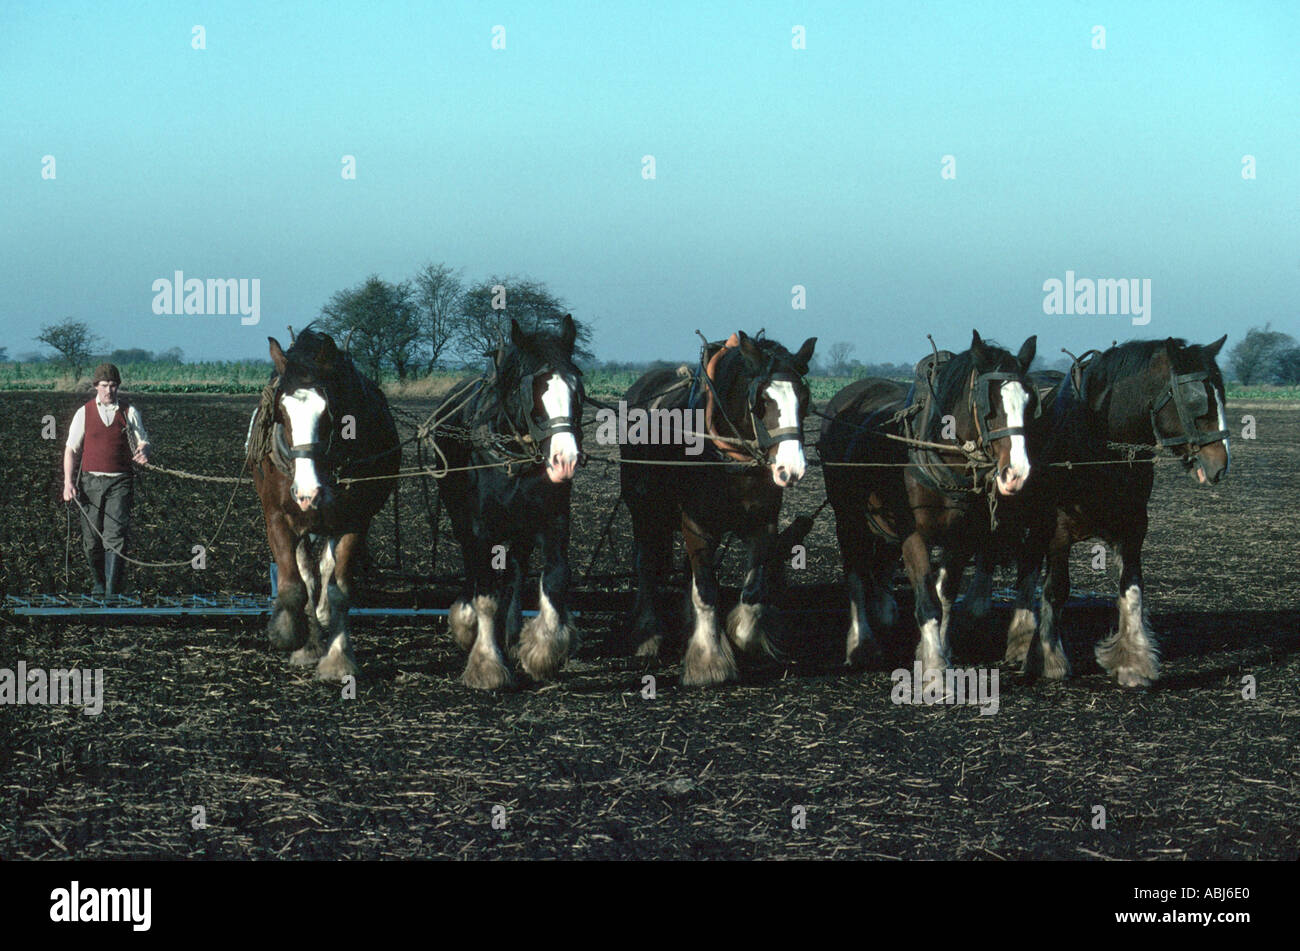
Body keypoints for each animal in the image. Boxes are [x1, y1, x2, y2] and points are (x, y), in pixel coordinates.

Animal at [246, 329, 397, 680]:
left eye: (329, 413)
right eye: (282, 412)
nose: (307, 493)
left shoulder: (355, 520)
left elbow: (338, 589)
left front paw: (338, 659)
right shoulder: (277, 517)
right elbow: (294, 585)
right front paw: (291, 635)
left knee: (325, 572)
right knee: (308, 575)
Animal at [616, 329, 811, 685]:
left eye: (804, 399)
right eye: (762, 401)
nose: (791, 468)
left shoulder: (763, 524)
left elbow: (751, 590)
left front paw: (741, 635)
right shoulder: (696, 525)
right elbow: (706, 590)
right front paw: (709, 662)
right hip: (644, 511)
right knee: (646, 566)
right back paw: (648, 634)